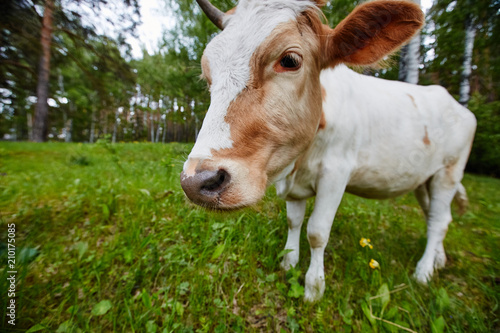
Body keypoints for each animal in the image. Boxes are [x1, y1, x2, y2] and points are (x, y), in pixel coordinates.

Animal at [180, 0, 476, 300]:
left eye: (290, 60)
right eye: (208, 75)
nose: (197, 180)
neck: (300, 163)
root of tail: (455, 103)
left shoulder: (336, 173)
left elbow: (317, 231)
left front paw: (314, 287)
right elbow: (293, 221)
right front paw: (289, 262)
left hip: (448, 173)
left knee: (438, 220)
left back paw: (424, 272)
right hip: (425, 178)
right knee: (437, 216)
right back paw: (438, 260)